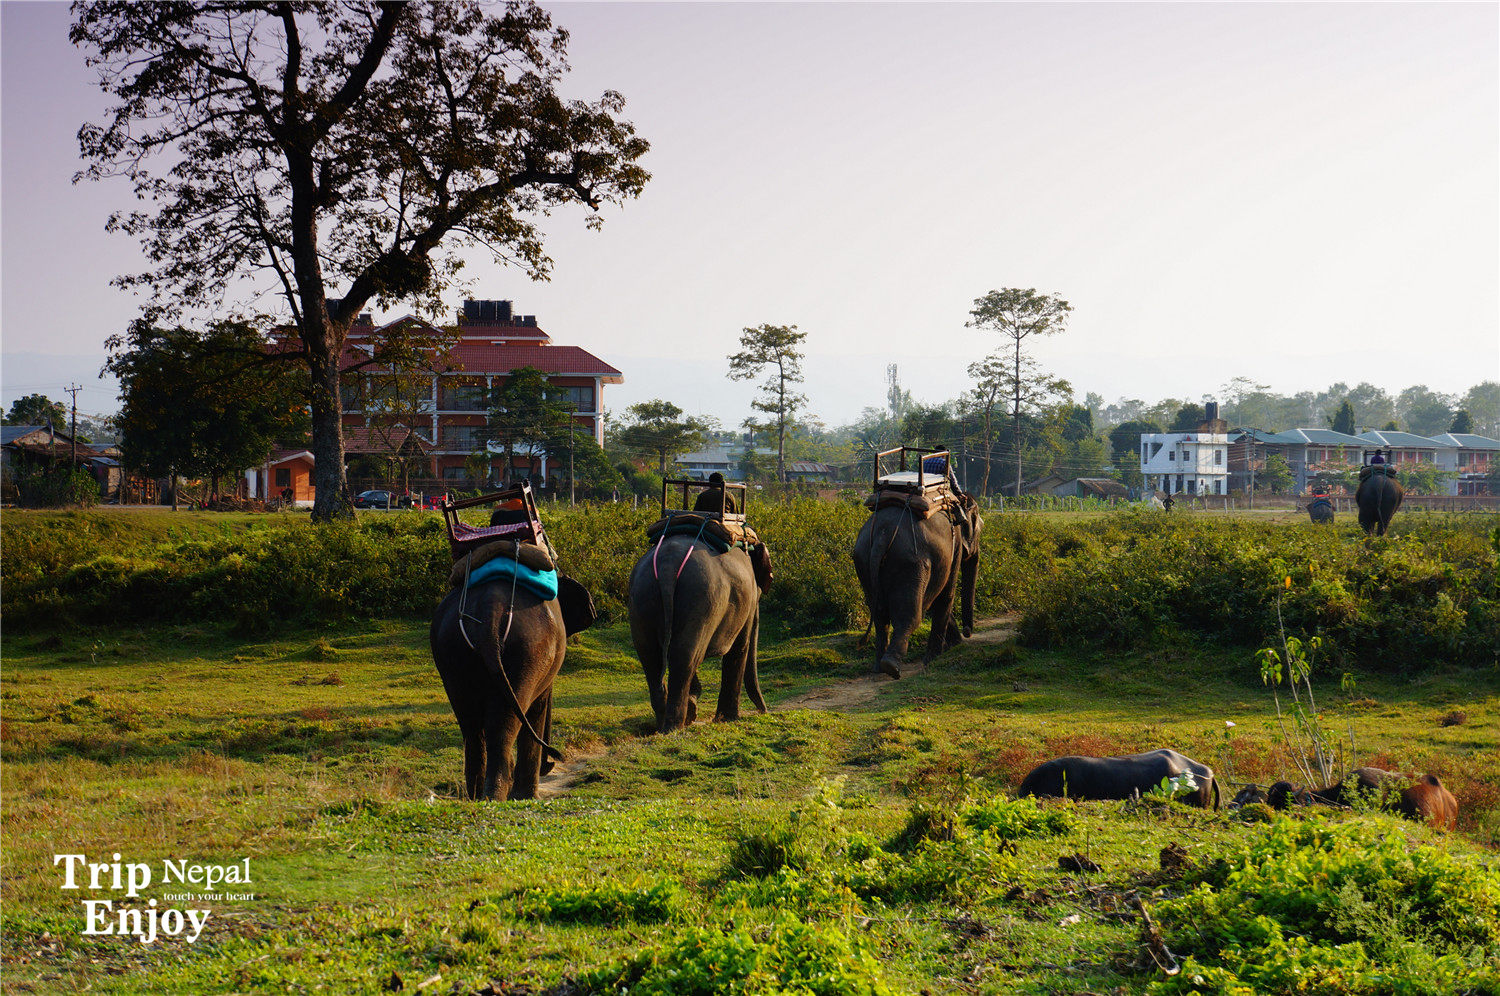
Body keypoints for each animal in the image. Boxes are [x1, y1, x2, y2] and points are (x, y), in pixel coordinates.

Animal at [432, 561, 594, 804]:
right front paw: (526, 796)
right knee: (505, 720)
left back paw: (477, 796)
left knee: (470, 724)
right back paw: (500, 795)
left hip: (451, 650)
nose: (551, 763)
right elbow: (538, 707)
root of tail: (489, 611)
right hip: (527, 650)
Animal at [627, 534, 768, 735]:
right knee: (687, 655)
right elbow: (740, 647)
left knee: (651, 656)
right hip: (702, 599)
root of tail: (667, 565)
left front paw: (694, 702)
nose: (763, 711)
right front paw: (728, 719)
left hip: (641, 597)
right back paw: (674, 727)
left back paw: (663, 725)